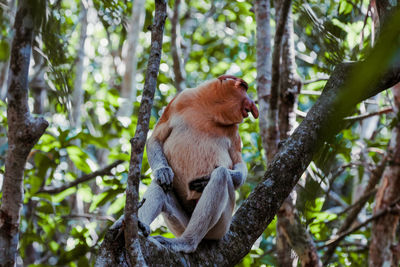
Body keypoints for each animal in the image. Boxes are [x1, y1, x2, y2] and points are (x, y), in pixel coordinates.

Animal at [139, 75, 260, 253]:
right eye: (243, 87)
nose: (252, 104)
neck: (209, 110)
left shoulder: (233, 130)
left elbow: (238, 162)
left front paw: (210, 180)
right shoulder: (179, 100)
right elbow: (156, 138)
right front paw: (163, 171)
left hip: (220, 228)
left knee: (220, 176)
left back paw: (185, 243)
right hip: (181, 224)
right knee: (161, 184)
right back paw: (140, 225)